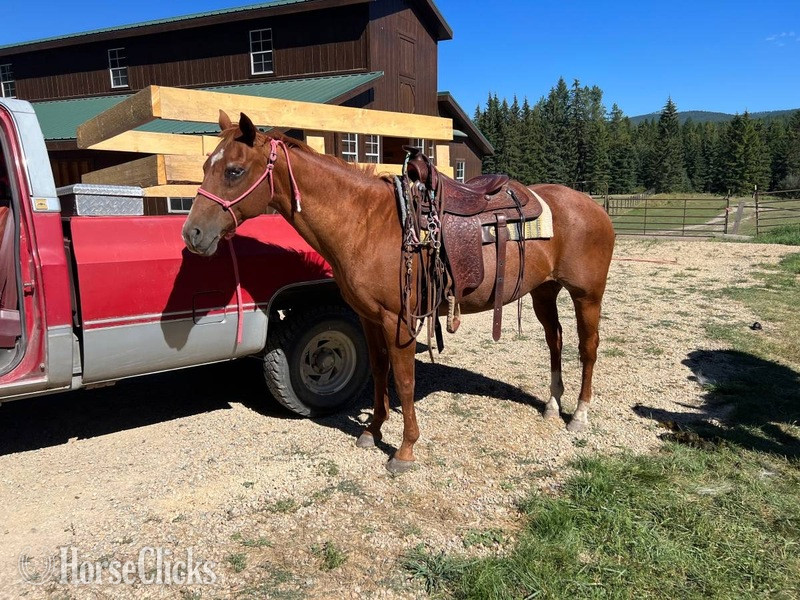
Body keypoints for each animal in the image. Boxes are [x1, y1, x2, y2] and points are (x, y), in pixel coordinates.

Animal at [182, 111, 615, 473]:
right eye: (205, 166)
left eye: (235, 170)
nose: (193, 234)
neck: (366, 223)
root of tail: (592, 205)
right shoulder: (368, 317)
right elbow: (378, 372)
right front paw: (372, 430)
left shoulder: (399, 319)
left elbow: (404, 380)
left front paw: (404, 451)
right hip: (545, 290)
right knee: (555, 340)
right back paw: (551, 405)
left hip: (587, 294)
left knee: (587, 347)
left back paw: (579, 414)